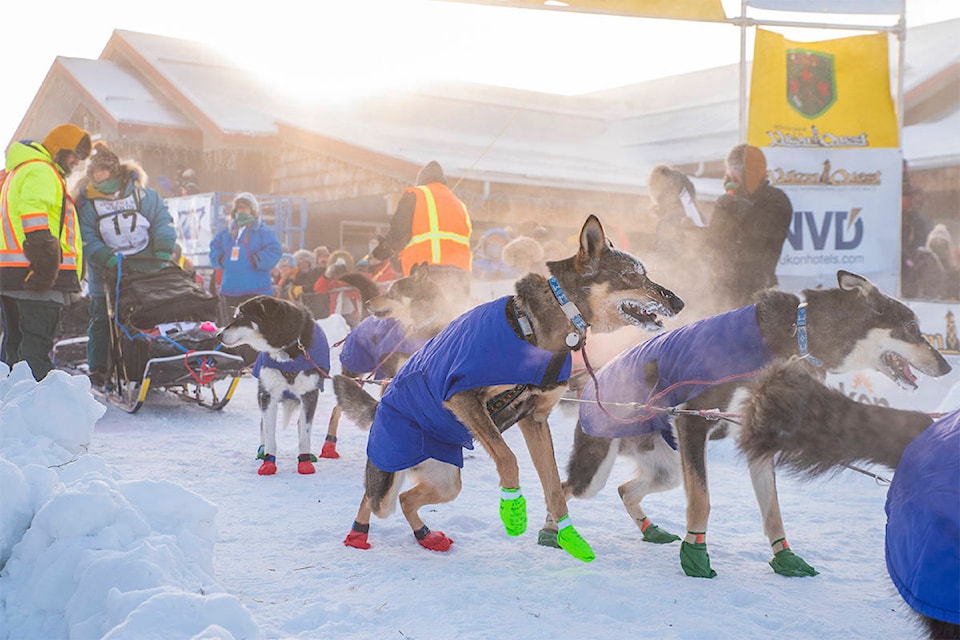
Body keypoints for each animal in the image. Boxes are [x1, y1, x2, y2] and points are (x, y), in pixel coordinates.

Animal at [220, 296, 332, 476]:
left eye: (242, 316)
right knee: (262, 425)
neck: (287, 346)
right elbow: (269, 433)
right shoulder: (268, 395)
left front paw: (304, 461)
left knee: (300, 423)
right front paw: (269, 462)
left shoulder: (309, 394)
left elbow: (305, 434)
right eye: (236, 315)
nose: (218, 335)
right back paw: (261, 451)